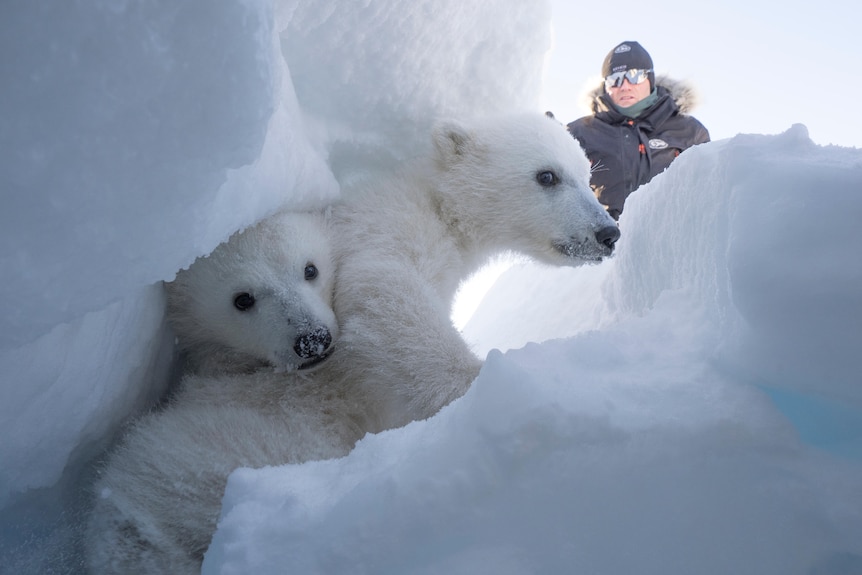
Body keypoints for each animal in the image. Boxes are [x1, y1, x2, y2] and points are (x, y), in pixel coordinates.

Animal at [322, 112, 620, 433]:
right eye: (547, 175)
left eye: (587, 175)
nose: (608, 234)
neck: (440, 207)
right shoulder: (388, 228)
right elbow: (383, 287)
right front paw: (484, 386)